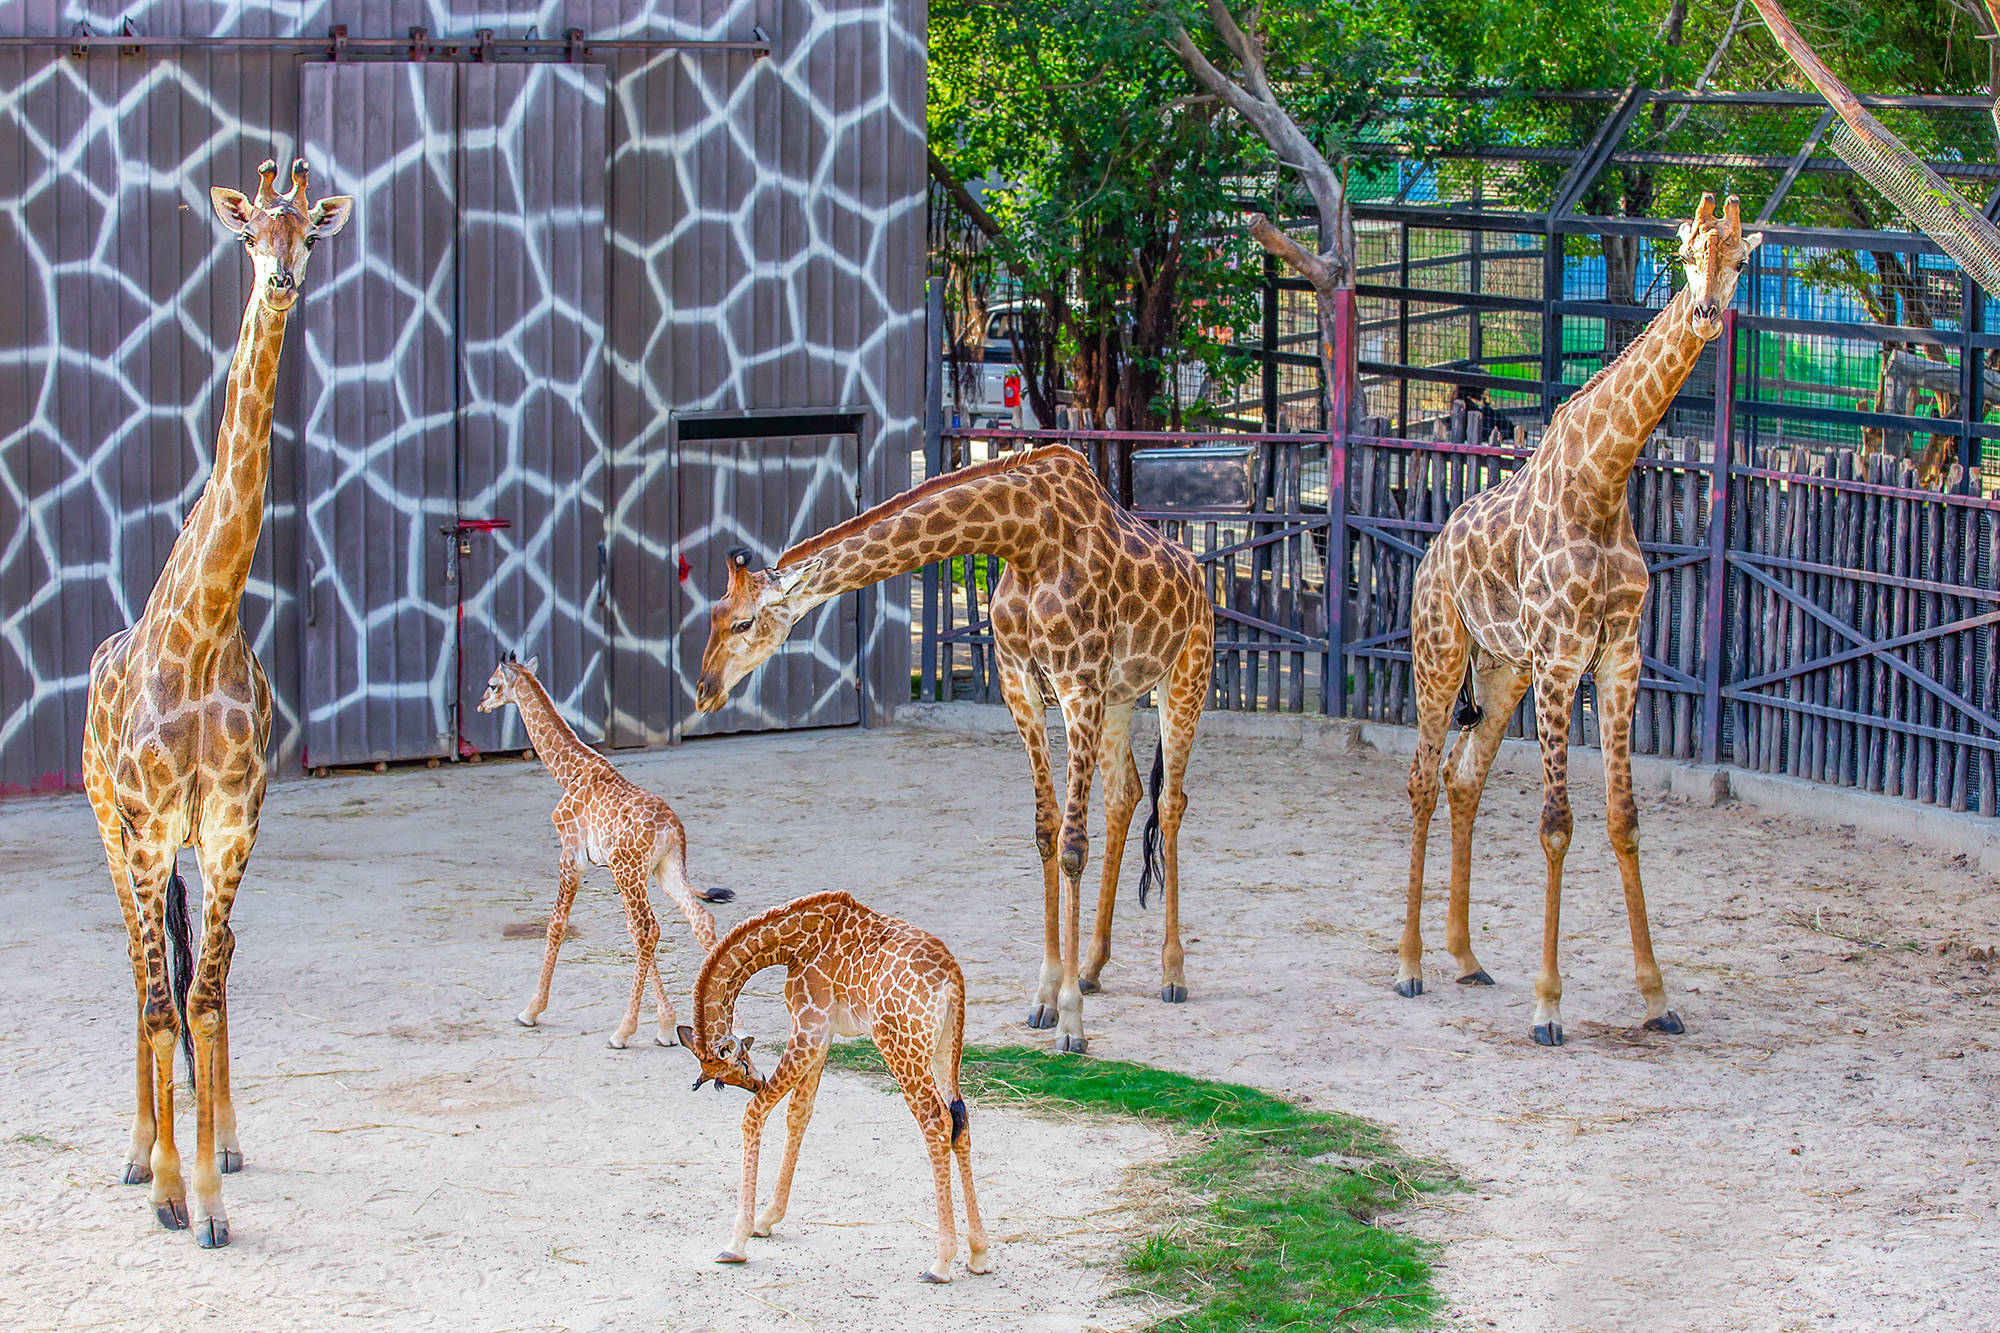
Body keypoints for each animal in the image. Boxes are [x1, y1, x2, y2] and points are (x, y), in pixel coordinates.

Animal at [476, 652, 736, 1048]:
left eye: (492, 684)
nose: (480, 705)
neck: (569, 771)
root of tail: (673, 830)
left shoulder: (572, 856)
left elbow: (557, 925)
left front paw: (531, 1010)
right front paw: (665, 1026)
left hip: (628, 869)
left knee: (648, 929)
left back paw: (622, 1031)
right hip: (661, 871)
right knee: (693, 920)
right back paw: (726, 1030)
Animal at [680, 888, 992, 1280]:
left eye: (724, 1078)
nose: (755, 1081)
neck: (794, 942)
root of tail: (951, 980)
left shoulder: (808, 1027)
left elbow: (755, 1113)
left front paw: (737, 1240)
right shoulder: (823, 1033)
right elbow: (799, 1112)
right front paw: (766, 1220)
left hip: (899, 1046)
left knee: (936, 1122)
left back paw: (940, 1262)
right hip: (944, 1047)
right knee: (960, 1120)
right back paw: (978, 1254)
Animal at [696, 444, 1208, 1048]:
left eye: (743, 622)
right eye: (714, 616)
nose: (703, 692)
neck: (1026, 537)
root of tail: (1199, 575)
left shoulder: (1077, 682)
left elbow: (1073, 845)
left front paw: (1072, 1022)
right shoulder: (1019, 682)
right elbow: (1046, 832)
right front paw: (1045, 997)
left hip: (1185, 674)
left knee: (1171, 802)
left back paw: (1173, 974)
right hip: (1121, 695)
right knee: (1126, 792)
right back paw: (1093, 966)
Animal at [1400, 192, 1760, 1040]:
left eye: (1738, 260)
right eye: (1687, 254)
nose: (1705, 313)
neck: (1606, 478)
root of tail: (1431, 555)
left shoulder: (1619, 656)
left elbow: (1623, 818)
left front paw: (1658, 998)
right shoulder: (1565, 658)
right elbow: (1557, 823)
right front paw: (1548, 1005)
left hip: (1503, 671)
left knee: (1464, 778)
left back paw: (1466, 957)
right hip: (1441, 652)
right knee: (1423, 778)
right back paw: (1410, 966)